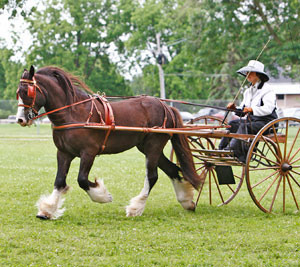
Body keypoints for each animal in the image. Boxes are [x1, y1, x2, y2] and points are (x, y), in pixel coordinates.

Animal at [15, 65, 200, 220]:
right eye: (18, 92)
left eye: (28, 92)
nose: (20, 119)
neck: (74, 113)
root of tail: (165, 106)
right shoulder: (64, 153)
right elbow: (59, 181)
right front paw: (47, 210)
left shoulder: (89, 152)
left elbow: (82, 179)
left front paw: (103, 196)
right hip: (148, 148)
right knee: (172, 169)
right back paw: (186, 201)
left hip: (153, 146)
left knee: (152, 176)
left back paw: (136, 208)